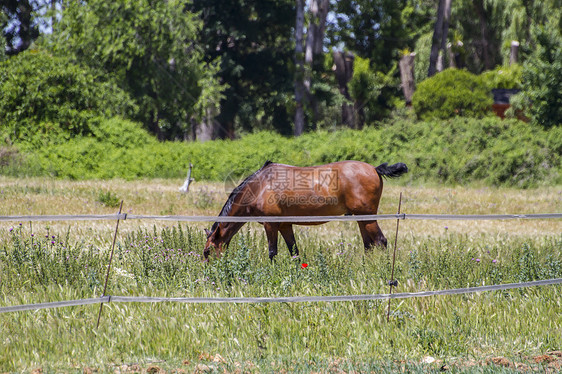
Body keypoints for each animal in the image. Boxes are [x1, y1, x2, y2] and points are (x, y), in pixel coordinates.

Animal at [203, 161, 404, 260]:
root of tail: (375, 169)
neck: (259, 186)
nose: (210, 274)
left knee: (381, 241)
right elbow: (295, 253)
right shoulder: (284, 225)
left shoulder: (270, 224)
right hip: (361, 218)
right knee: (369, 245)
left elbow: (272, 252)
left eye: (207, 252)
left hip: (367, 217)